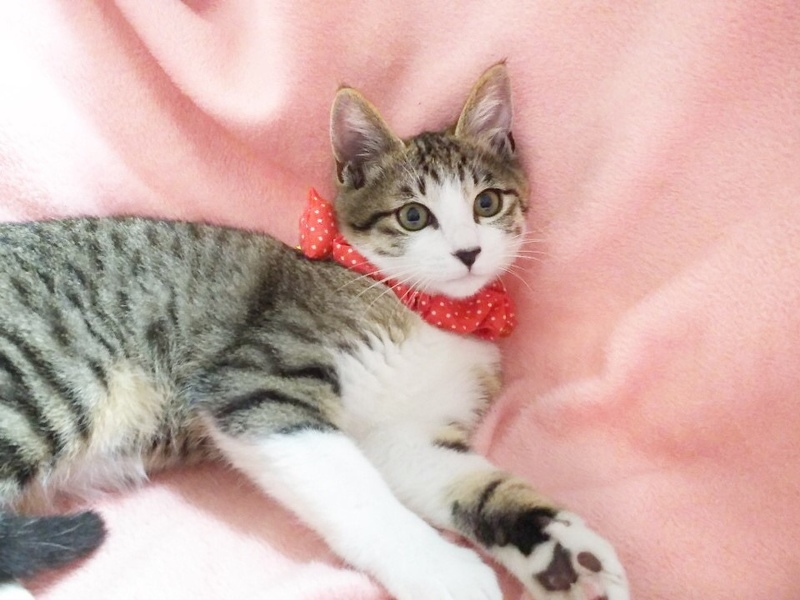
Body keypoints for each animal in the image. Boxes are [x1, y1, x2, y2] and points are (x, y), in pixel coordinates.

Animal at [0, 64, 628, 600]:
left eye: (488, 202)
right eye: (414, 216)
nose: (469, 252)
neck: (421, 311)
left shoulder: (404, 432)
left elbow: (473, 481)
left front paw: (563, 551)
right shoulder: (256, 382)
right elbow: (352, 489)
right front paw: (445, 572)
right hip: (38, 379)